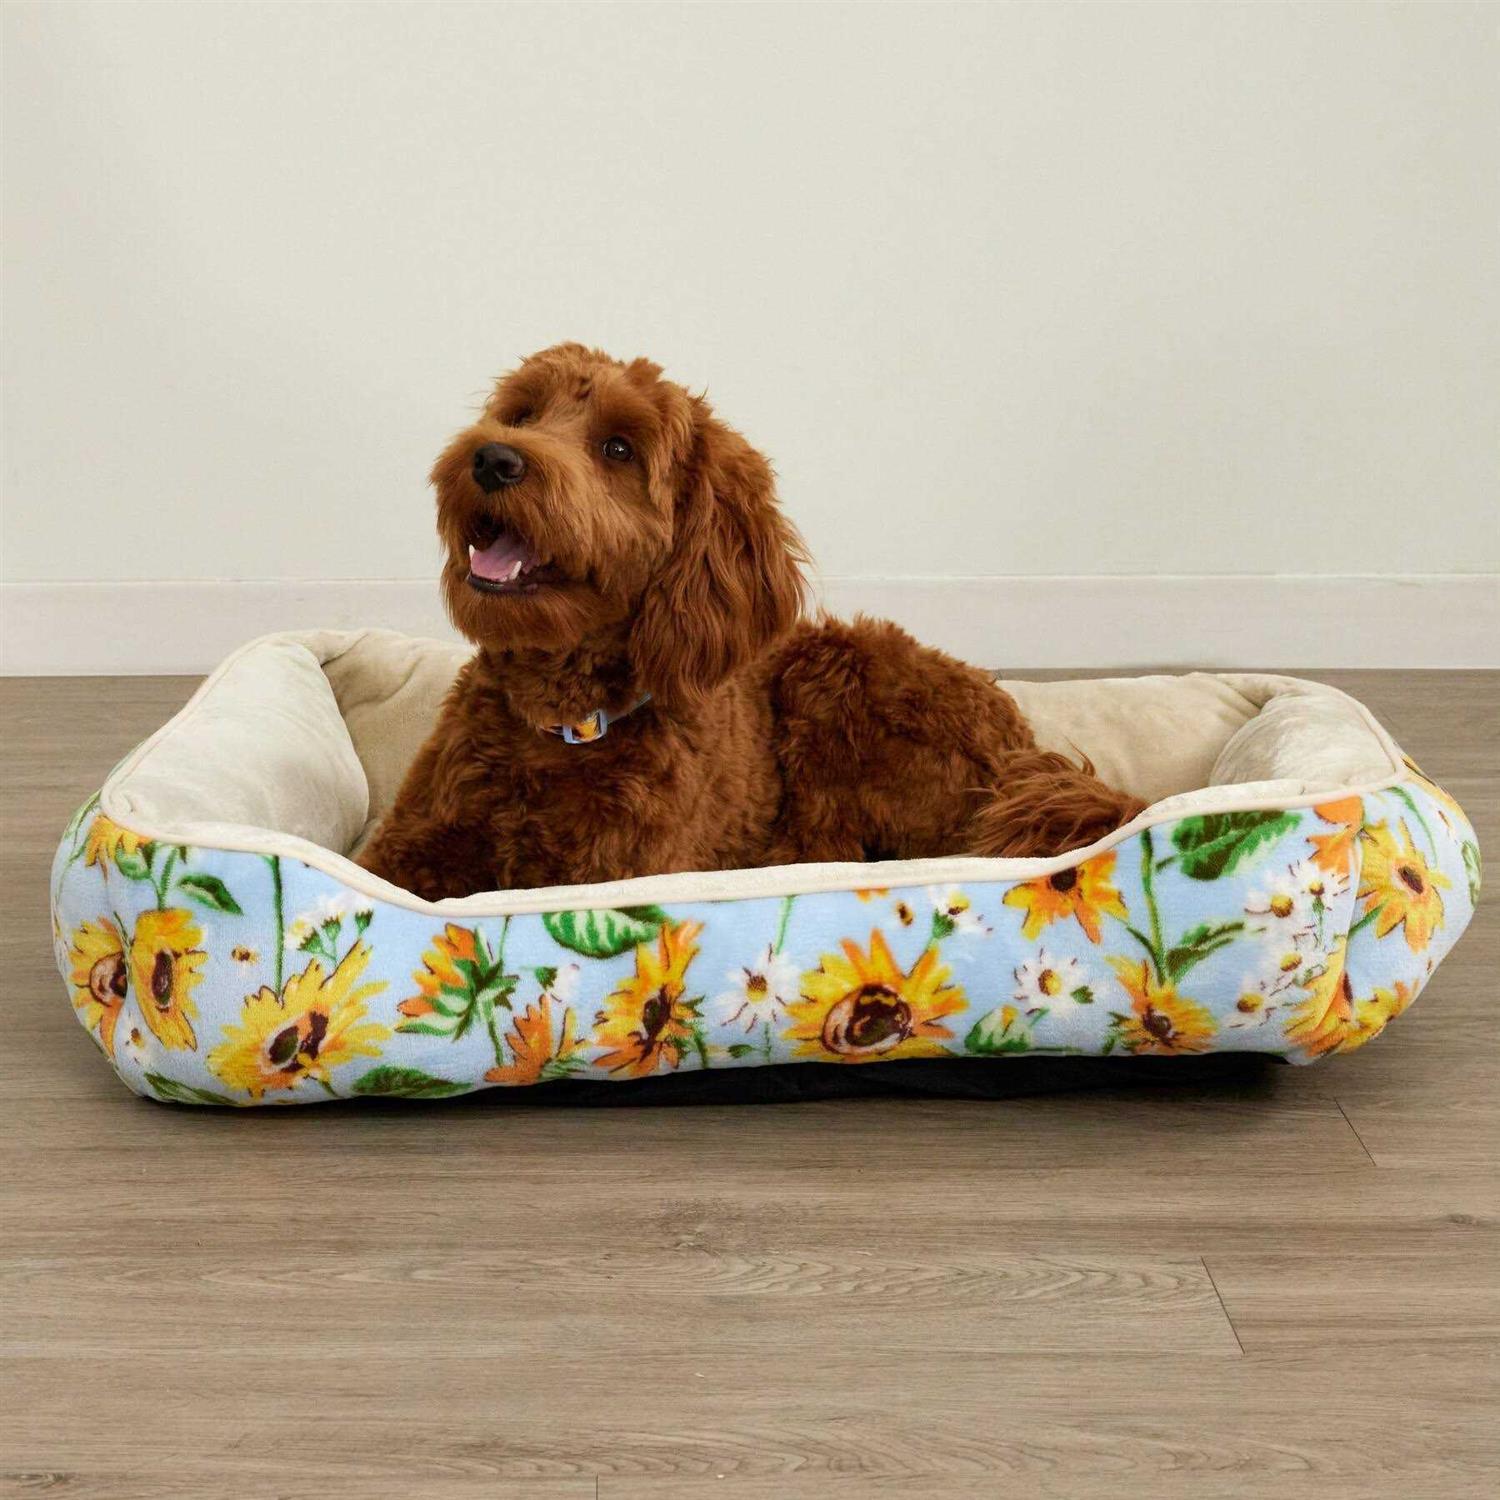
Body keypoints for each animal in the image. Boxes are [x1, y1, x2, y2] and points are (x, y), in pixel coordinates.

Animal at [358, 344, 1146, 900]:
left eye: (618, 449)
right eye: (521, 414)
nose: (493, 458)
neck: (559, 728)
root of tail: (1022, 747)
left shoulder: (621, 871)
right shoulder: (404, 850)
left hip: (841, 679)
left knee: (827, 849)